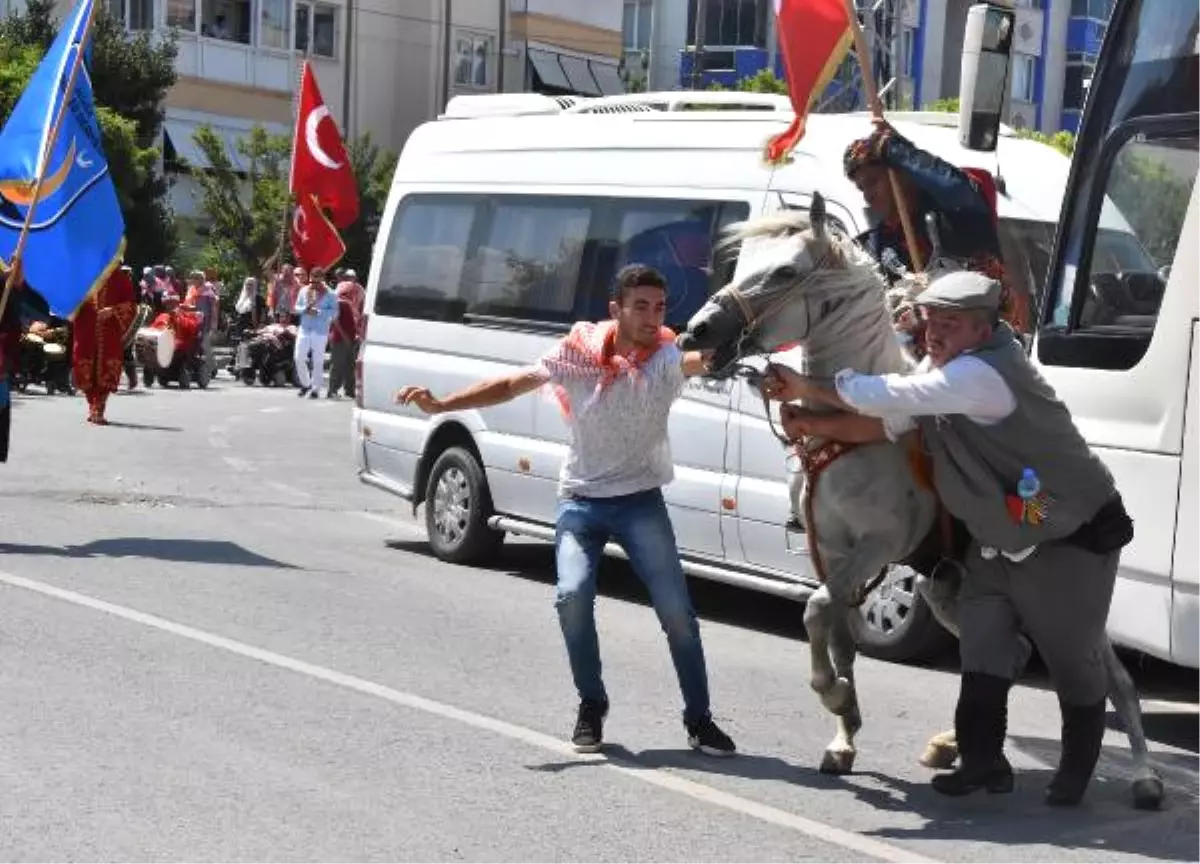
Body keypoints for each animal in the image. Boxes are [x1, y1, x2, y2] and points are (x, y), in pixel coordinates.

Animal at [681, 195, 1166, 811]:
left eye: (786, 271)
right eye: (744, 262)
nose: (696, 330)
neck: (851, 440)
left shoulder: (875, 547)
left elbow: (815, 612)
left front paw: (836, 697)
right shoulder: (830, 552)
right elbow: (838, 636)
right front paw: (844, 736)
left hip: (1064, 612)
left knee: (1111, 681)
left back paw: (1144, 777)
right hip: (949, 591)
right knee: (1003, 657)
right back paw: (955, 747)